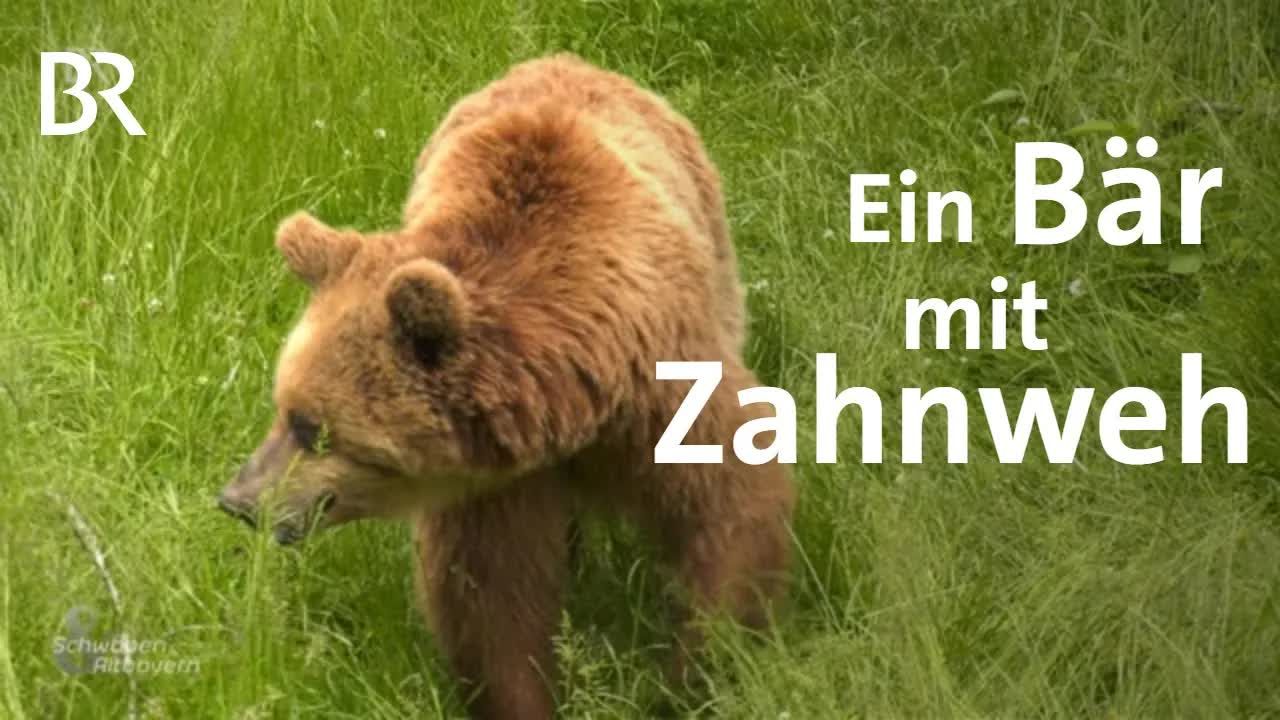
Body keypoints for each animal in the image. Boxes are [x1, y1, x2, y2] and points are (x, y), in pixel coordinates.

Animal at [218, 53, 794, 719]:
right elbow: (492, 598)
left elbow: (731, 505)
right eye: (282, 407)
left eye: (311, 427)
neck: (571, 398)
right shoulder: (490, 478)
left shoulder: (660, 395)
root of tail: (564, 58)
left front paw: (688, 675)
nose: (237, 500)